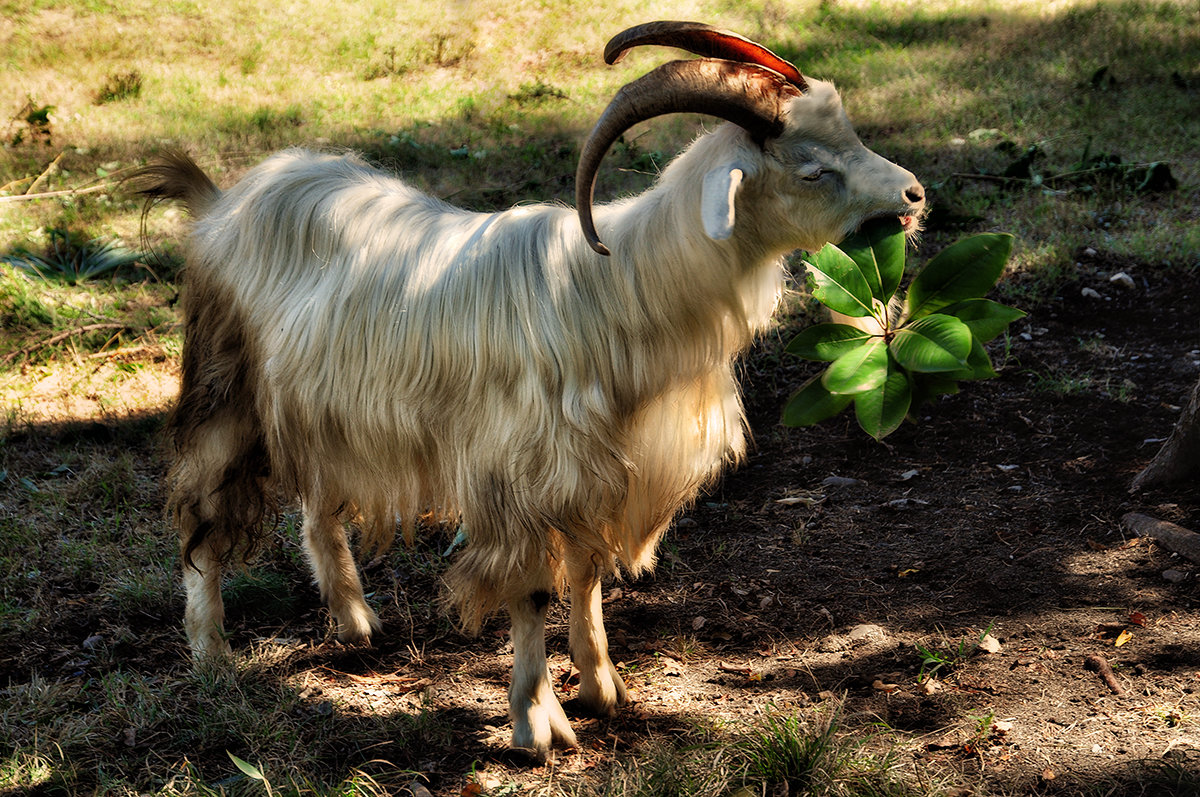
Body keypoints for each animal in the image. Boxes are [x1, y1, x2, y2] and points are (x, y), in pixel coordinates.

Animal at [138, 21, 926, 758]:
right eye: (814, 170)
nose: (915, 196)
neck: (615, 287)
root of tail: (225, 200)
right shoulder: (517, 475)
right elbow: (532, 591)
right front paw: (536, 722)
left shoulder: (598, 474)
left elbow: (586, 576)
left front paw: (604, 688)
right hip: (227, 388)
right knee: (199, 513)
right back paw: (212, 656)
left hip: (323, 406)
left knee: (317, 508)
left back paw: (354, 622)